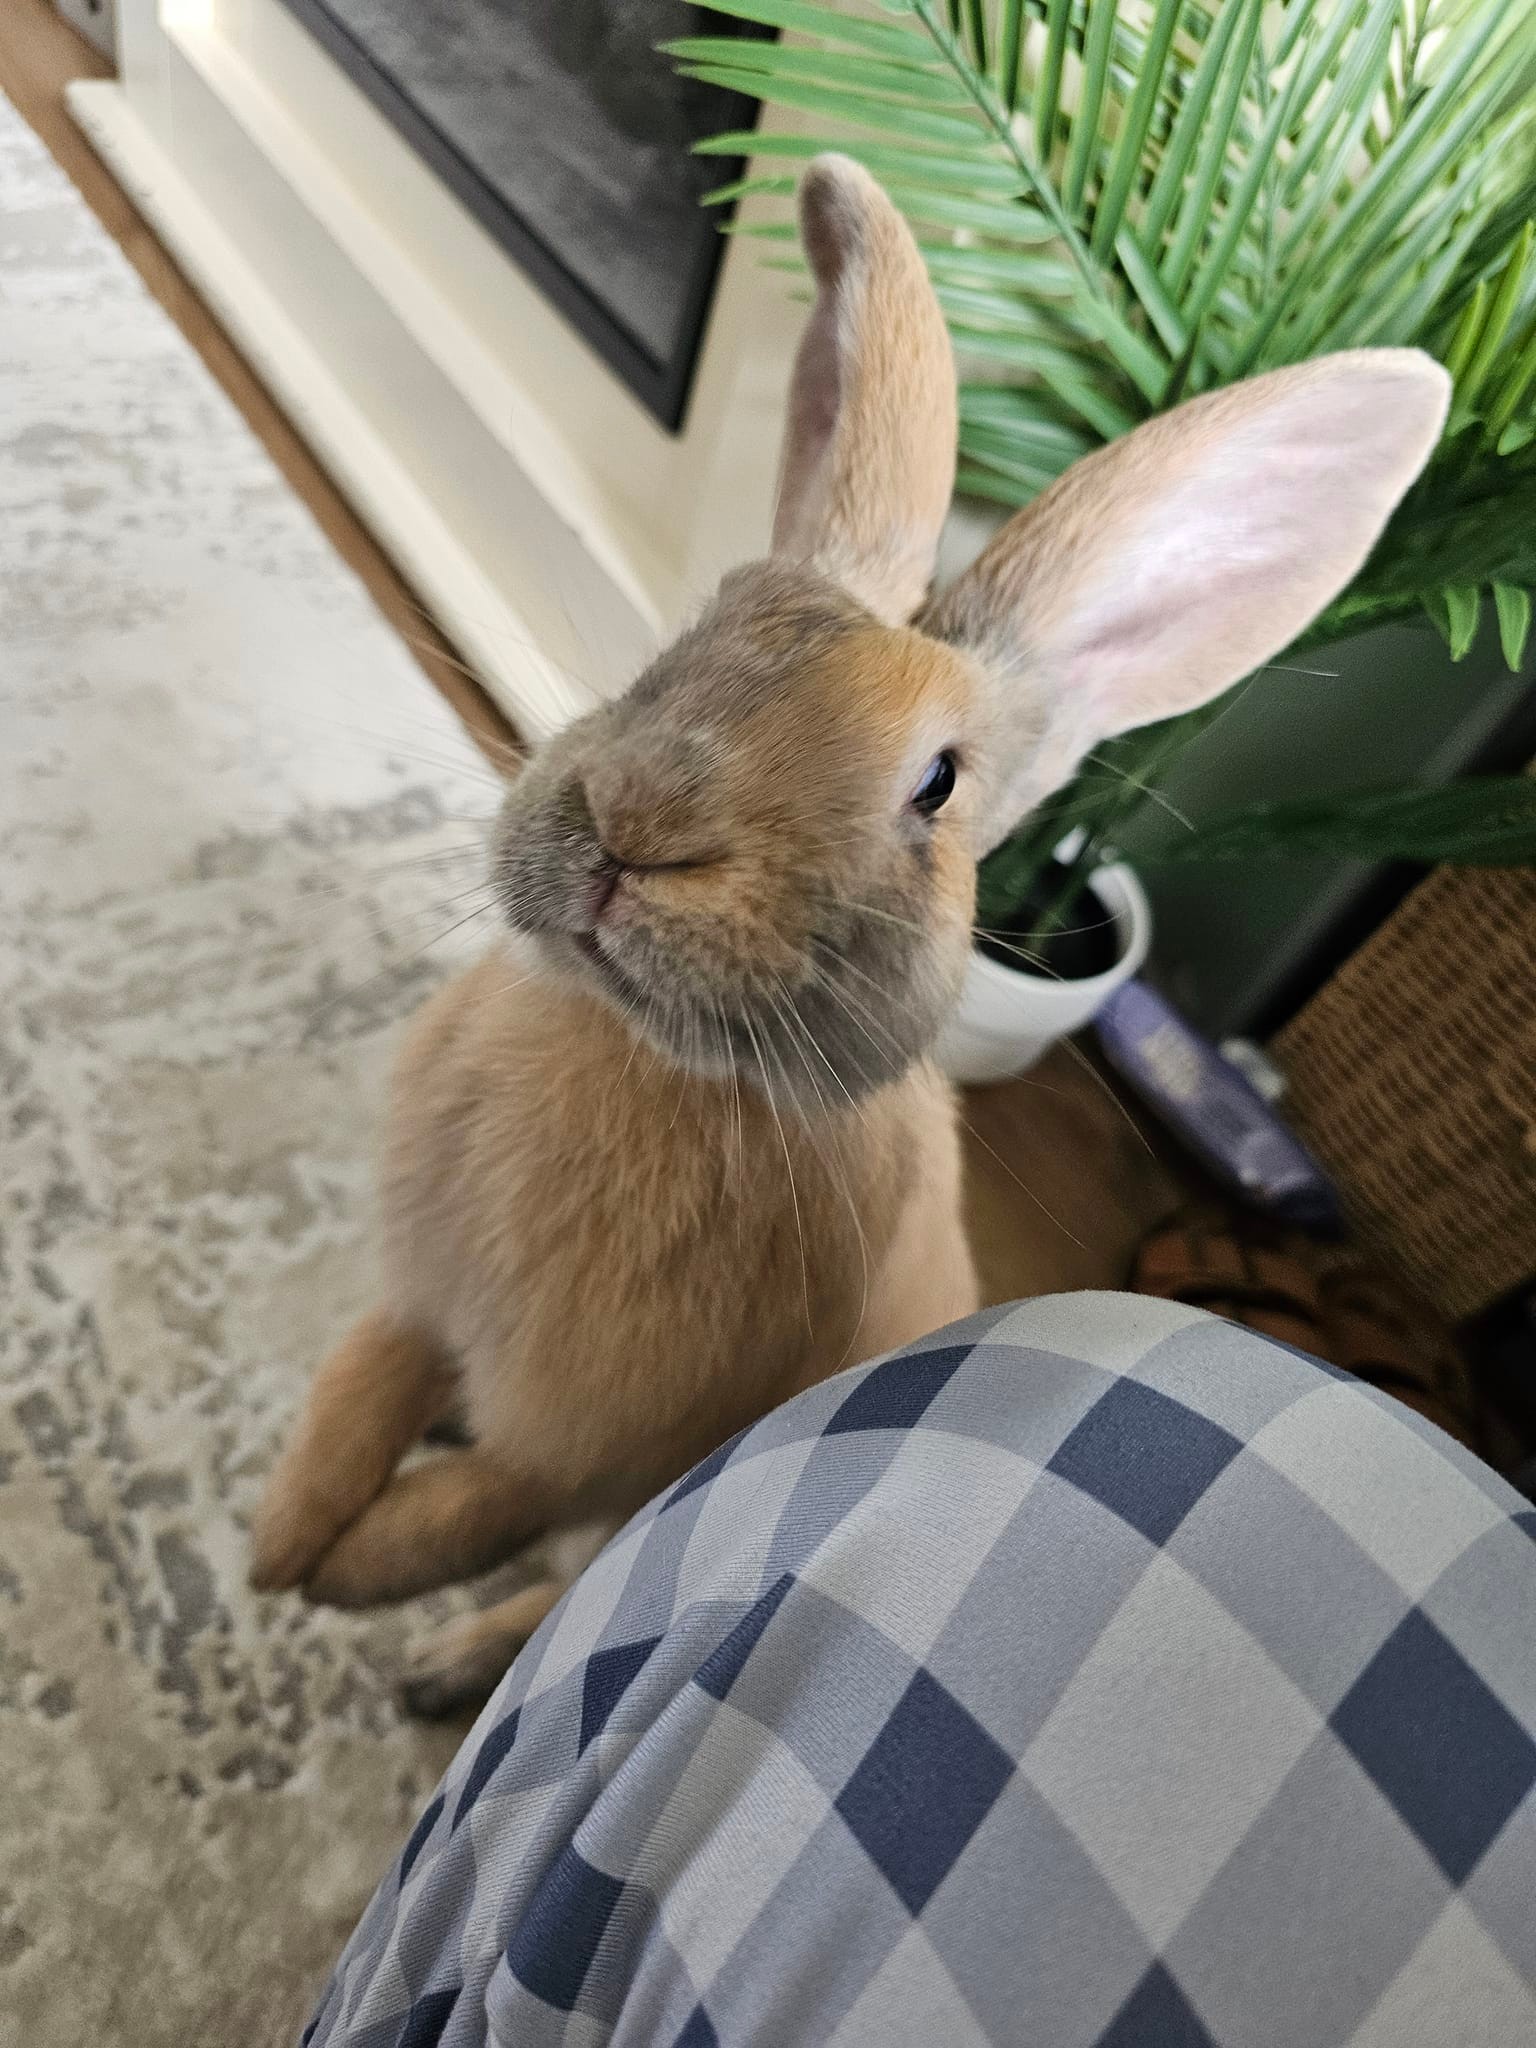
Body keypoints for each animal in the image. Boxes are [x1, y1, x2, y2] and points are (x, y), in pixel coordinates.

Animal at [249, 154, 1449, 1714]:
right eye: (703, 629)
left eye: (935, 785)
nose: (636, 821)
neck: (649, 1057)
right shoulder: (418, 1296)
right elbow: (362, 1384)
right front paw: (279, 1543)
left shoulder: (596, 1449)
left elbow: (485, 1504)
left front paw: (348, 1579)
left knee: (556, 1591)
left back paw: (446, 1673)